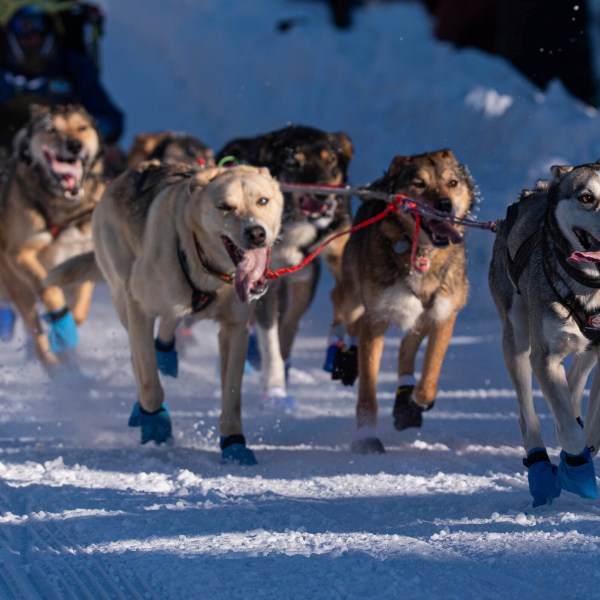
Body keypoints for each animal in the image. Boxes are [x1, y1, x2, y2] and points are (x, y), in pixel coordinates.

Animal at [0, 103, 105, 370]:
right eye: (51, 129)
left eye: (82, 128)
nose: (75, 145)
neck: (63, 207)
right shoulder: (20, 254)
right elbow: (48, 290)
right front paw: (61, 320)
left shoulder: (86, 254)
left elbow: (81, 308)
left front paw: (70, 325)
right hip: (18, 286)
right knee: (37, 336)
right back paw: (55, 366)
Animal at [44, 161, 284, 464]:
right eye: (225, 207)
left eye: (263, 201)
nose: (256, 233)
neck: (207, 268)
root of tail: (127, 174)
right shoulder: (139, 308)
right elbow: (149, 382)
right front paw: (155, 422)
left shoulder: (235, 329)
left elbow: (232, 396)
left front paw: (233, 442)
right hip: (123, 297)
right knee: (139, 354)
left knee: (172, 319)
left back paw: (166, 351)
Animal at [218, 125, 354, 408]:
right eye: (293, 162)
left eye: (331, 160)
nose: (323, 194)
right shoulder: (262, 281)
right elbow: (270, 339)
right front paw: (275, 387)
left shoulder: (330, 256)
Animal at [332, 148, 474, 452]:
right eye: (419, 184)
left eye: (452, 183)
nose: (445, 204)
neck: (420, 252)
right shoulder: (375, 319)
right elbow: (368, 389)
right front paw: (366, 436)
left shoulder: (444, 314)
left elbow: (432, 367)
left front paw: (418, 397)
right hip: (354, 298)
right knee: (343, 309)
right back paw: (344, 357)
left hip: (419, 316)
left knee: (405, 350)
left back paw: (406, 397)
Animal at [488, 162, 600, 504]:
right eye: (587, 197)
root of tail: (534, 190)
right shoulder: (545, 357)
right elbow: (570, 434)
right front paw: (577, 474)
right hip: (517, 341)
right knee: (528, 415)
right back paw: (541, 469)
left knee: (574, 383)